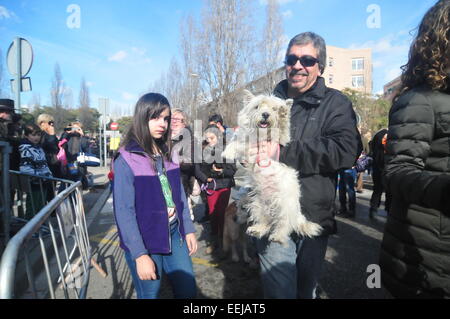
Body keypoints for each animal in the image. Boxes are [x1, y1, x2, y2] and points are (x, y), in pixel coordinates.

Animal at [222, 90, 322, 245]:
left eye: (274, 109)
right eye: (257, 106)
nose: (265, 114)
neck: (261, 135)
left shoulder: (282, 140)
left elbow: (282, 127)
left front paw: (283, 113)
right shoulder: (245, 140)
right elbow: (236, 142)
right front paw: (227, 152)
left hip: (284, 206)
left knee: (284, 224)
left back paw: (278, 237)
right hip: (256, 205)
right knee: (267, 222)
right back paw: (257, 229)